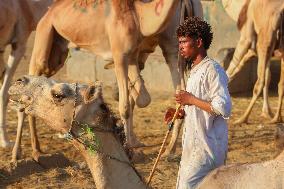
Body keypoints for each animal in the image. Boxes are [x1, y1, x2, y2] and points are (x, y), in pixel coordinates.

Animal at [20, 0, 204, 161]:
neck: (140, 14)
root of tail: (50, 10)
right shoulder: (121, 54)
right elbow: (127, 105)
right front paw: (129, 148)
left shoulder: (140, 52)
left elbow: (143, 98)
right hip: (45, 34)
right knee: (31, 79)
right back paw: (30, 152)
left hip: (58, 51)